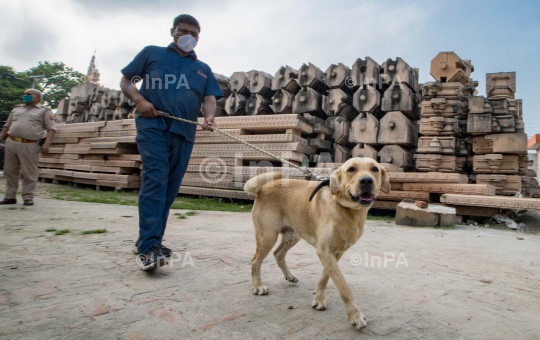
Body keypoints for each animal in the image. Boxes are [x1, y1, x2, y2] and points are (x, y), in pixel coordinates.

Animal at [244, 157, 388, 330]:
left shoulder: (335, 252)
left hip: (293, 235)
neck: (346, 210)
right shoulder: (325, 251)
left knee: (278, 254)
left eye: (375, 169)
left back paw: (289, 276)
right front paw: (355, 316)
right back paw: (257, 287)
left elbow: (325, 277)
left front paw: (318, 299)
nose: (366, 180)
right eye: (351, 169)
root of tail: (264, 187)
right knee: (255, 261)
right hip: (268, 236)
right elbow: (343, 286)